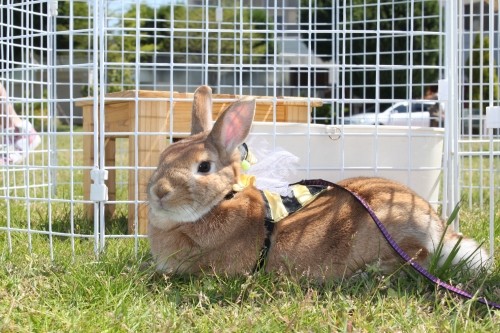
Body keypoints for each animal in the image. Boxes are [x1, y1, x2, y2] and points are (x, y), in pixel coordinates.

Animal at [147, 85, 488, 278]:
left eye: (203, 166)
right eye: (163, 156)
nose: (159, 192)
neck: (223, 200)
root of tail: (437, 228)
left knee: (418, 259)